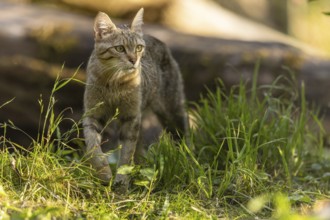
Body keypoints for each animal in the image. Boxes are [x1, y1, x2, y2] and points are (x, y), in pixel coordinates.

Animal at [83, 8, 188, 191]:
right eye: (119, 48)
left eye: (138, 48)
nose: (134, 60)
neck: (114, 82)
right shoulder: (92, 114)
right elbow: (93, 147)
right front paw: (104, 173)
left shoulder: (130, 117)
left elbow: (126, 153)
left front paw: (121, 180)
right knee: (140, 147)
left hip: (171, 111)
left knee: (183, 135)